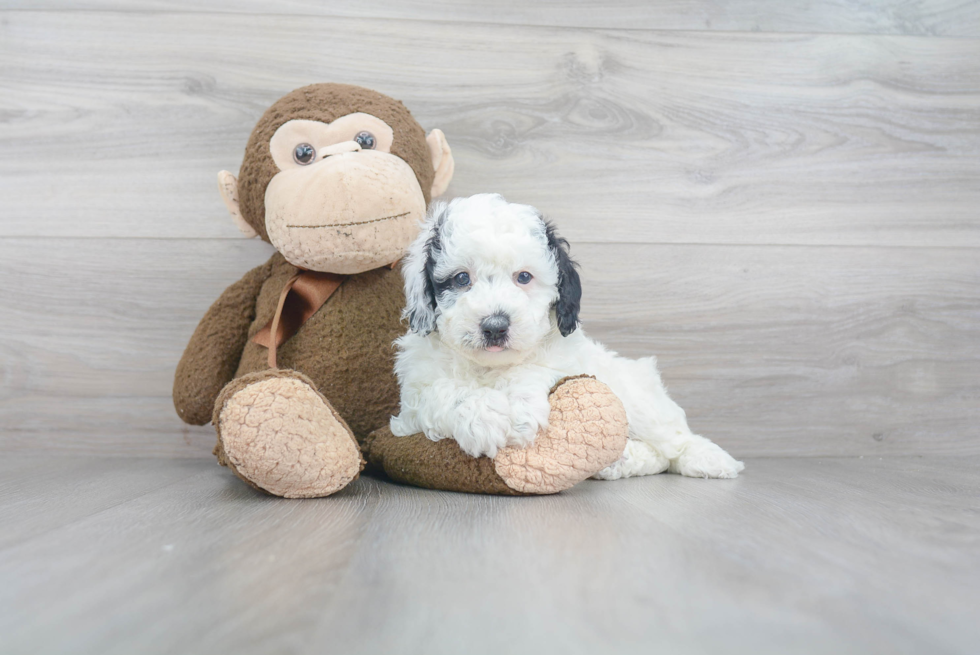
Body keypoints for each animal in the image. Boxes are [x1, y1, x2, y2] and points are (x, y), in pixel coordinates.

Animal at [390, 192, 744, 480]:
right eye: (462, 278)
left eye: (524, 277)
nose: (495, 326)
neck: (489, 368)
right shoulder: (414, 398)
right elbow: (442, 391)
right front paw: (483, 417)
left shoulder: (561, 361)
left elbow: (531, 371)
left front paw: (516, 412)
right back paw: (620, 461)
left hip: (638, 400)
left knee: (672, 440)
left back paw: (710, 459)